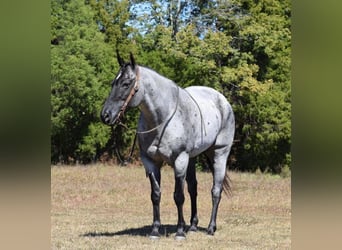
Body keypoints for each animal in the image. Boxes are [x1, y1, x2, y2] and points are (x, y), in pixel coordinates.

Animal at [99, 51, 235, 239]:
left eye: (126, 84)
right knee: (193, 188)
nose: (105, 115)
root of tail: (222, 100)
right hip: (192, 158)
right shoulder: (150, 162)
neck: (162, 119)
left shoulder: (179, 160)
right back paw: (193, 225)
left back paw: (210, 228)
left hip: (219, 154)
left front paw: (179, 232)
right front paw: (155, 230)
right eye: (113, 83)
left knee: (216, 190)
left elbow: (178, 196)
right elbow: (156, 195)